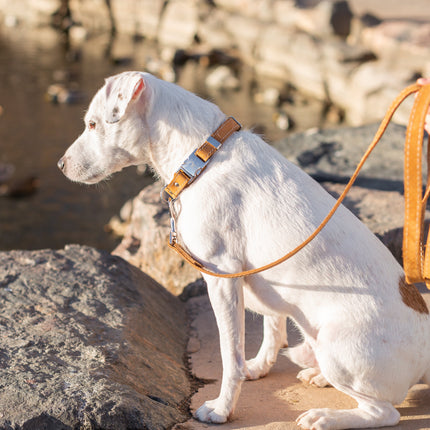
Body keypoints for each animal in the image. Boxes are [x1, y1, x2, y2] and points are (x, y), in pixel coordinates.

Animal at [58, 72, 430, 428]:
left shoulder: (221, 277)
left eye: (93, 124)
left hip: (338, 350)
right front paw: (261, 366)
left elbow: (230, 355)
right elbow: (272, 328)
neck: (201, 156)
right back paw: (318, 376)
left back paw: (326, 417)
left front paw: (222, 409)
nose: (60, 165)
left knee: (383, 412)